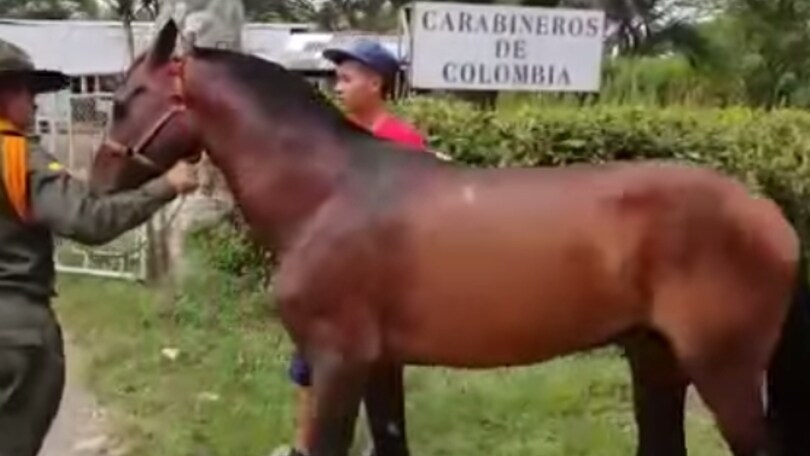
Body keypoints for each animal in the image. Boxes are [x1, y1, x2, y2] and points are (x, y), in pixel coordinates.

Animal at [88, 20, 810, 456]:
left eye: (125, 99)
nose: (97, 182)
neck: (327, 194)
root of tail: (768, 214)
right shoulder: (378, 363)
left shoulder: (338, 360)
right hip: (654, 357)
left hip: (722, 369)